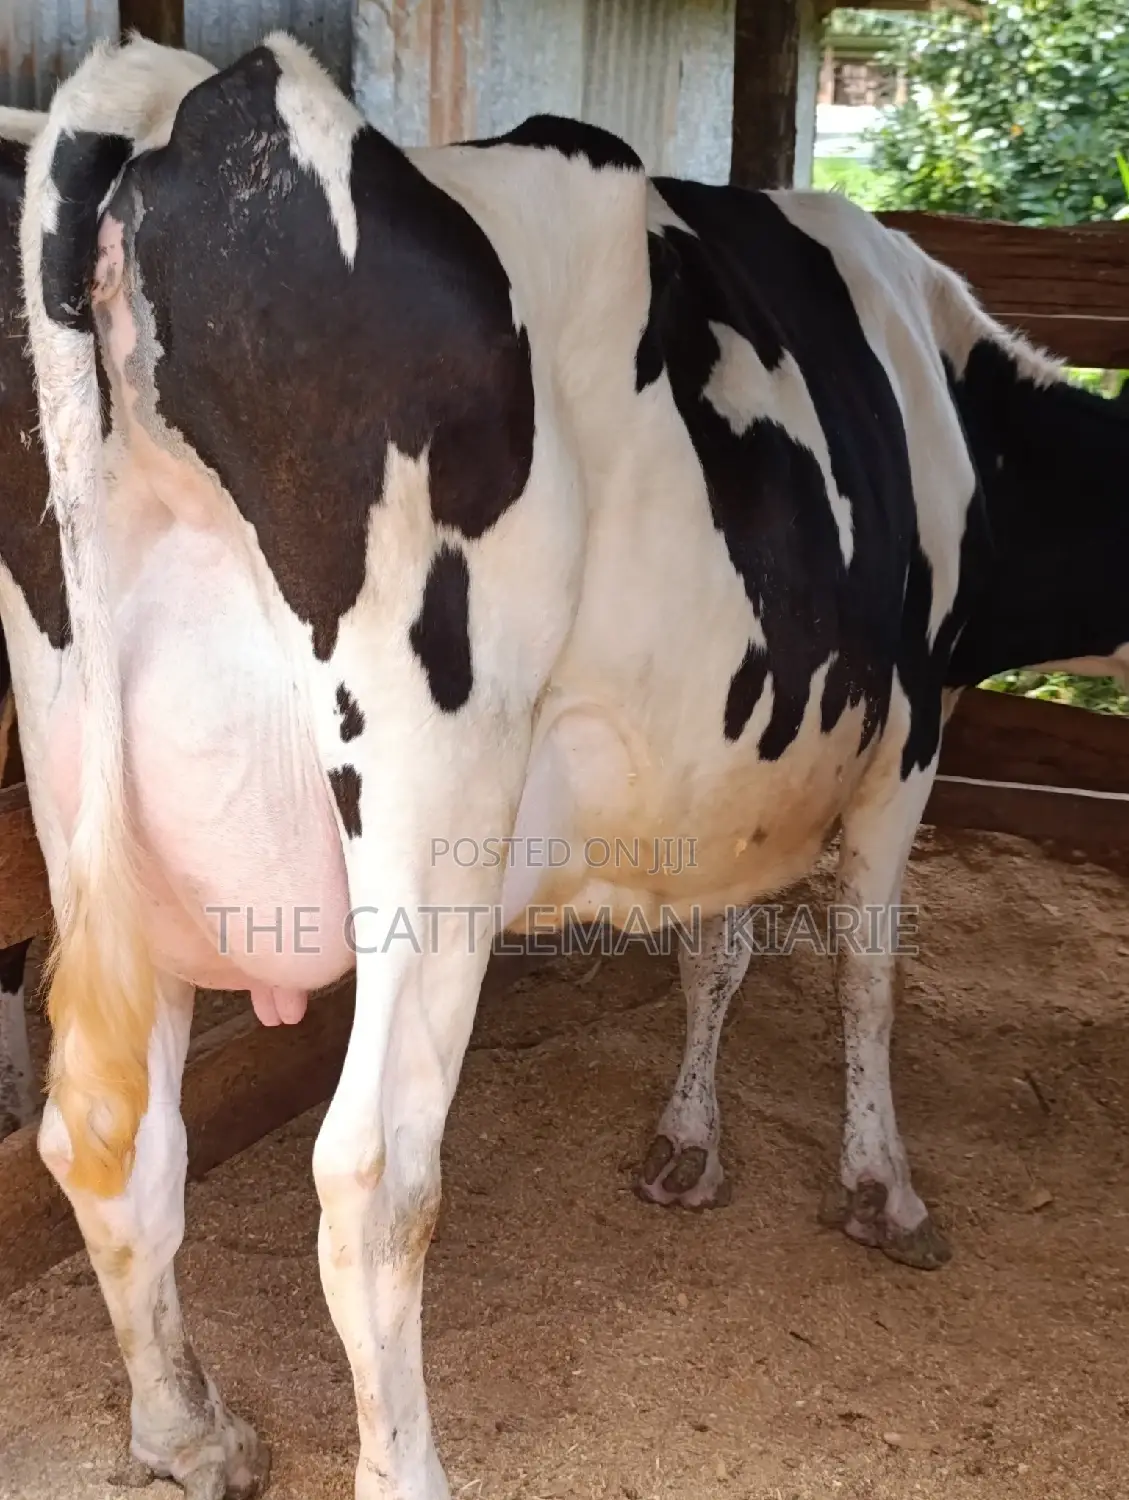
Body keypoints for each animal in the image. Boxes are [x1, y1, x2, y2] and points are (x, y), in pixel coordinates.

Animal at [9, 29, 1128, 1500]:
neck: (950, 402)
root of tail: (172, 93)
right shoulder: (909, 729)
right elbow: (868, 967)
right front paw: (882, 1188)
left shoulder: (727, 773)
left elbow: (717, 949)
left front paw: (687, 1149)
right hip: (434, 794)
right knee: (373, 1174)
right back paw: (401, 1470)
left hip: (82, 772)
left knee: (107, 1133)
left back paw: (188, 1430)